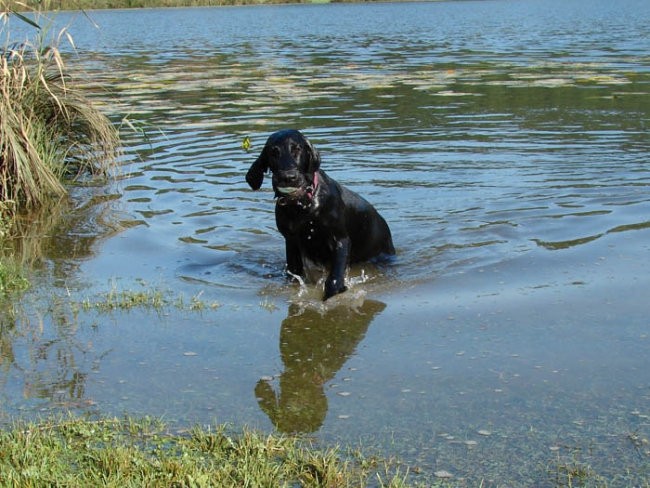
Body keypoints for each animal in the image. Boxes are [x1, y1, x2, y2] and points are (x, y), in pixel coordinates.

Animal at [244, 127, 392, 300]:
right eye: (273, 152)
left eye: (297, 149)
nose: (288, 177)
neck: (303, 206)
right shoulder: (291, 242)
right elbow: (293, 275)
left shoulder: (340, 240)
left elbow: (333, 280)